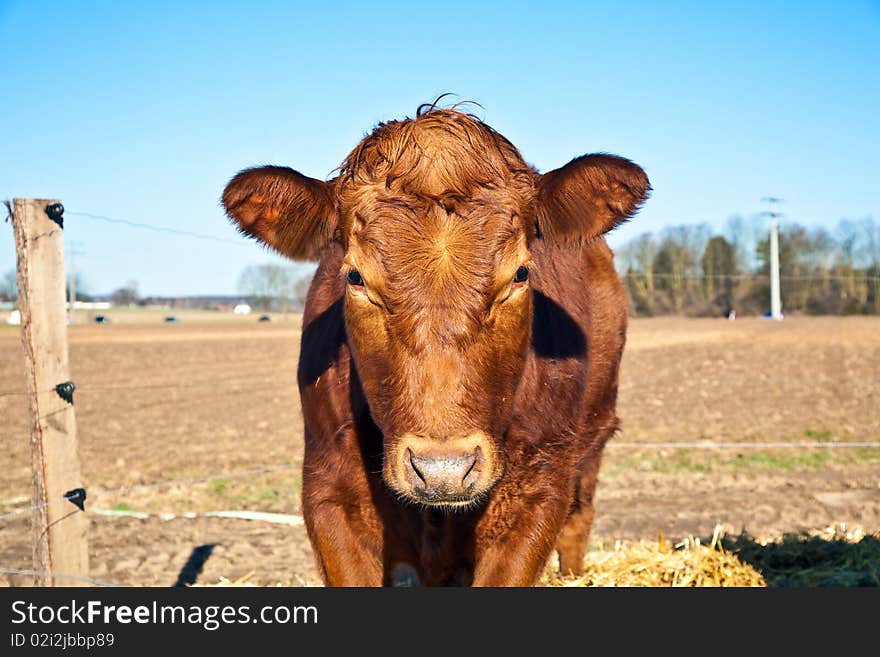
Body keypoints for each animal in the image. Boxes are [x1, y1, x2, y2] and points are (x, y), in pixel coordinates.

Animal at [223, 106, 648, 584]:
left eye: (520, 274)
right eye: (355, 277)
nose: (443, 470)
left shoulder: (539, 492)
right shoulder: (328, 491)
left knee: (579, 521)